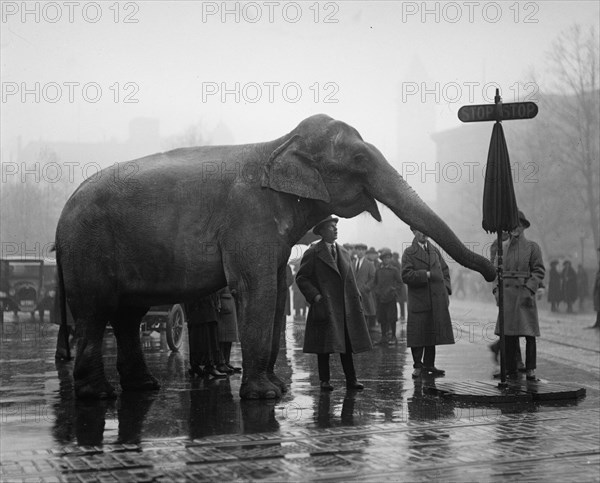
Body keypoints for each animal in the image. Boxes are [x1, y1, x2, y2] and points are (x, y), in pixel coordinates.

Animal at [55, 113, 496, 400]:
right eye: (359, 160)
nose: (493, 271)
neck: (280, 144)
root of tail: (62, 216)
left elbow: (278, 289)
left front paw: (278, 388)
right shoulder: (248, 216)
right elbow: (258, 289)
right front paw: (264, 395)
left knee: (128, 315)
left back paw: (142, 386)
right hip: (87, 250)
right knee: (95, 312)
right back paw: (98, 394)